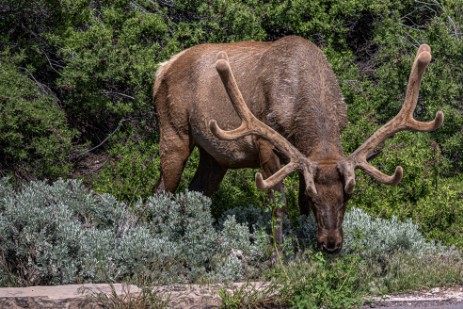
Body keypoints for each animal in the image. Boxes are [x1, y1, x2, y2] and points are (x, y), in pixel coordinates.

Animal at [154, 36, 444, 253]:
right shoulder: (265, 144)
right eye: (317, 199)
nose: (331, 244)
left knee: (193, 194)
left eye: (348, 196)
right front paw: (278, 257)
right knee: (162, 191)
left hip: (214, 157)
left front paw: (306, 249)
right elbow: (280, 203)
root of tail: (163, 67)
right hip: (173, 131)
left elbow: (299, 202)